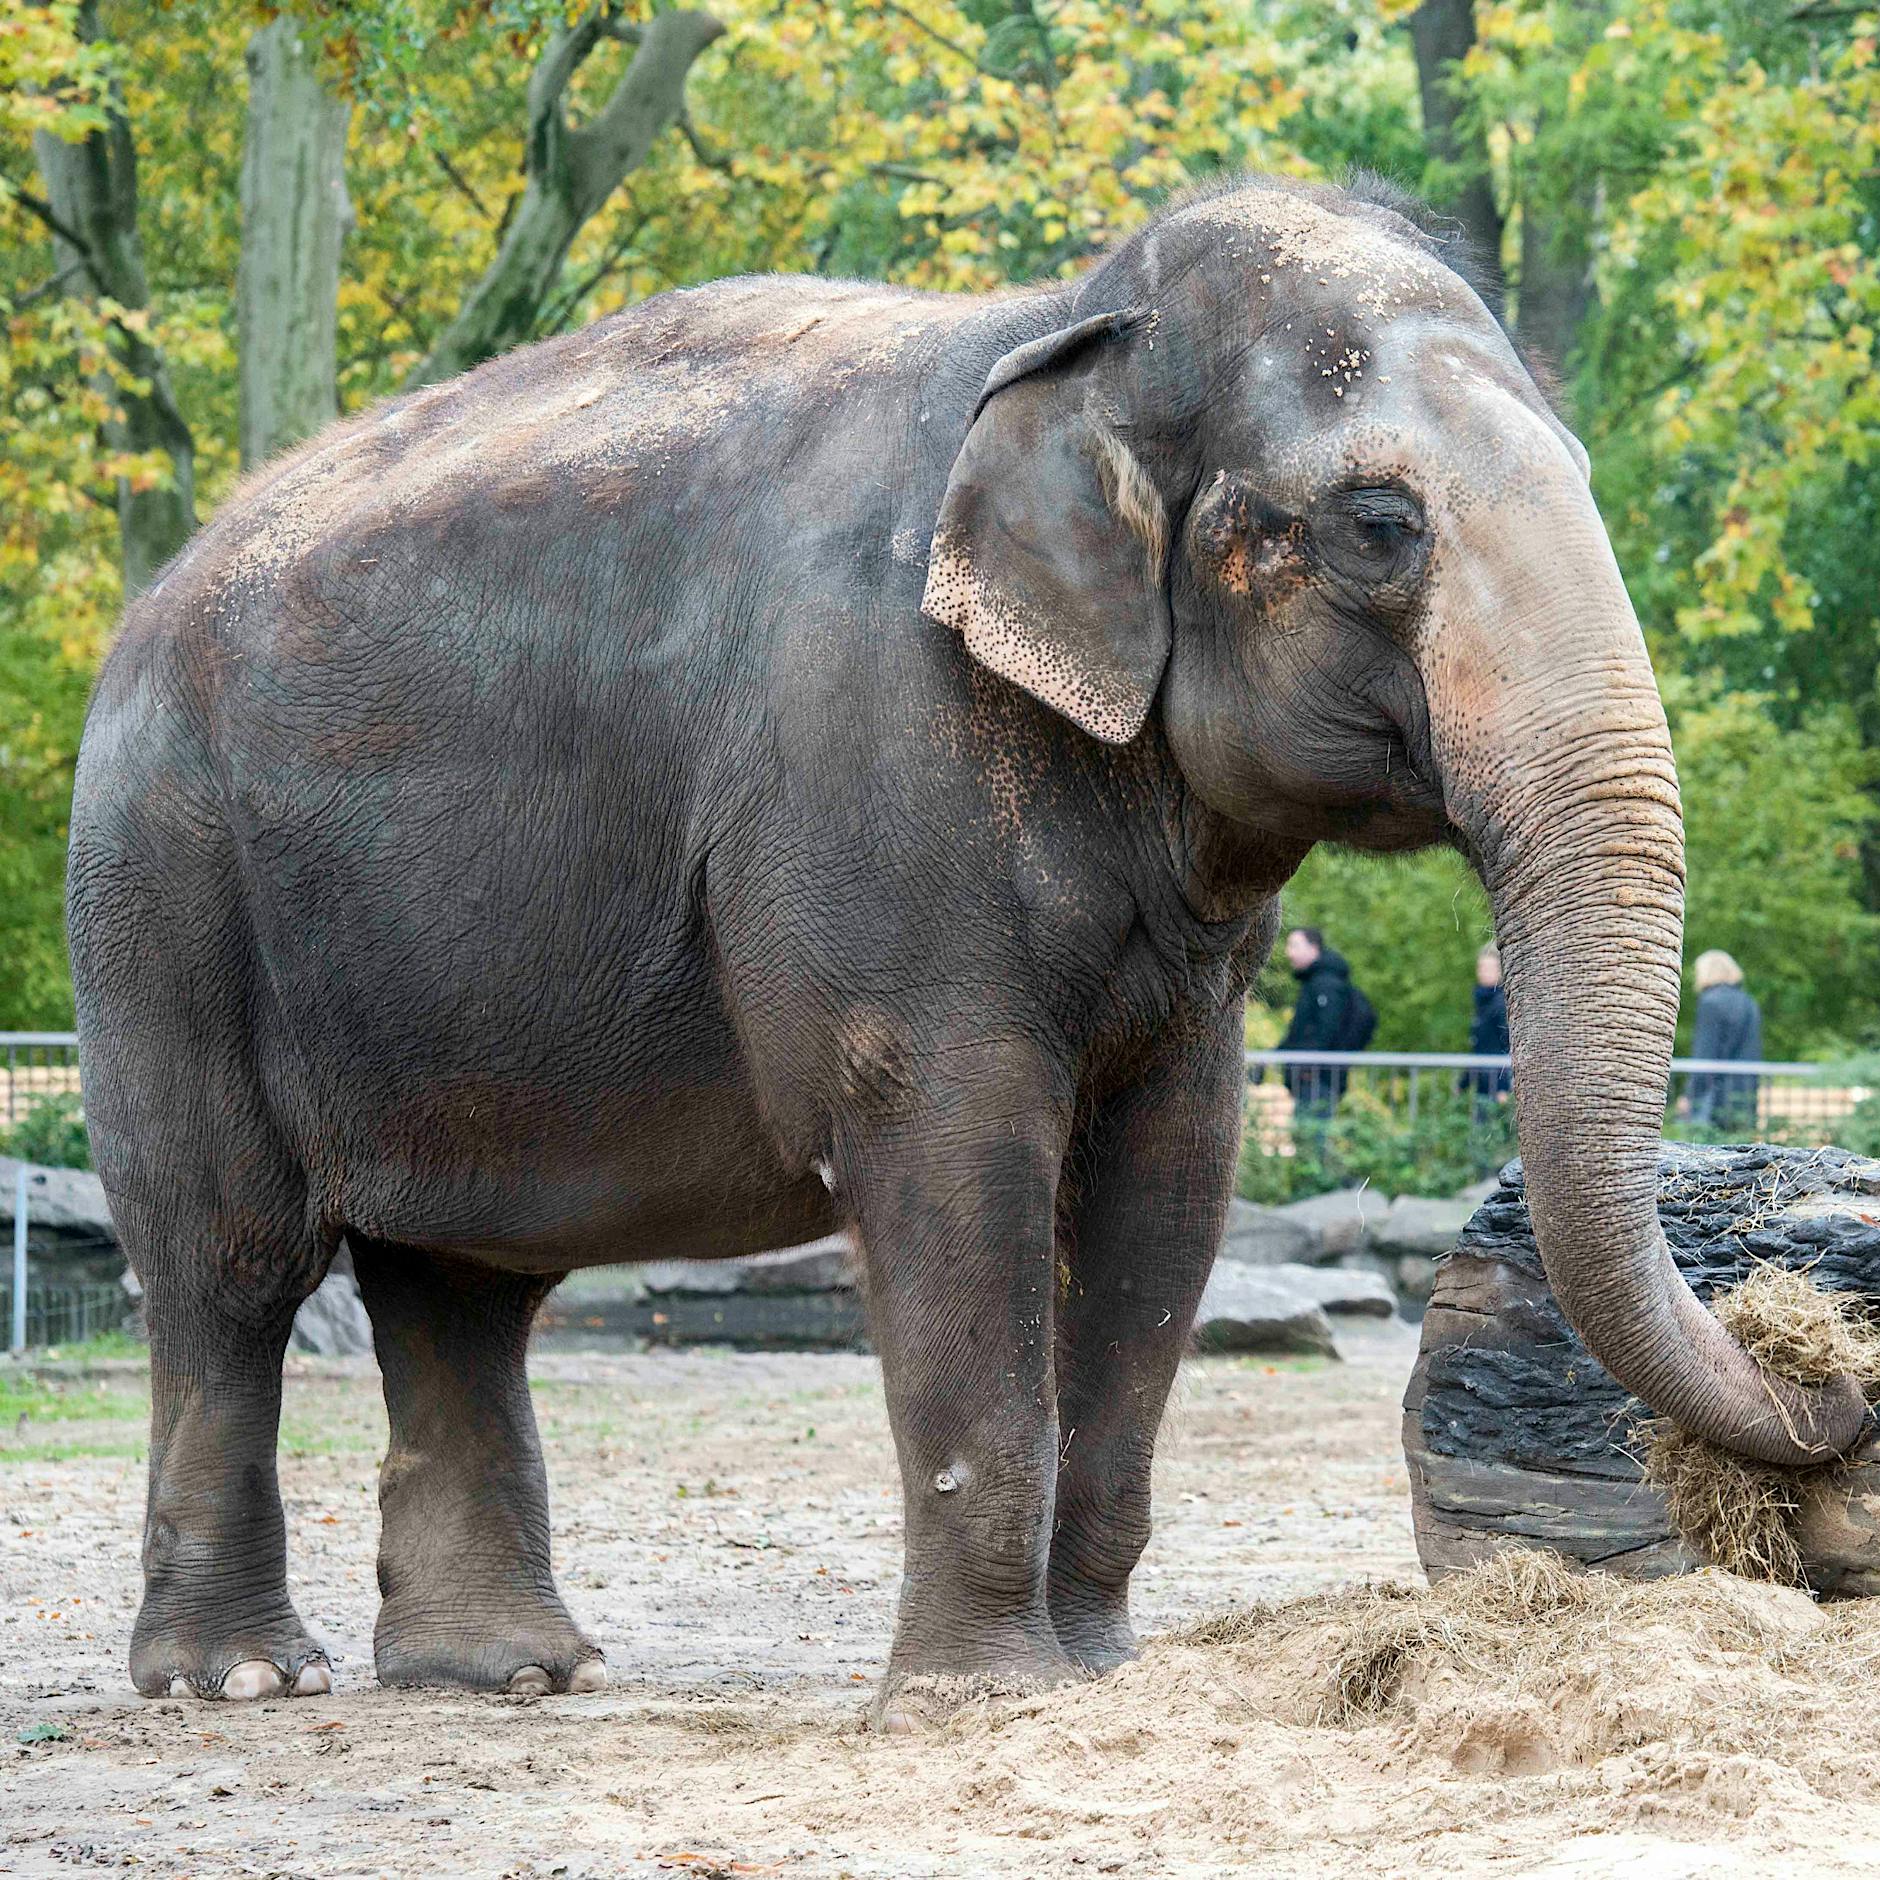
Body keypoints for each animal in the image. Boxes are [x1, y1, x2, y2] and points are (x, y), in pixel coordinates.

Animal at [68, 170, 1866, 1710]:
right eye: (1377, 525)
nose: (1834, 1384)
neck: (1067, 327)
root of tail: (138, 617)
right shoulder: (877, 771)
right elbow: (953, 1149)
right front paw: (986, 1698)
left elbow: (1171, 1182)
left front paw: (1102, 1672)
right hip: (163, 896)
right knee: (228, 1265)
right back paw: (242, 1680)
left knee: (460, 1289)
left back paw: (513, 1673)